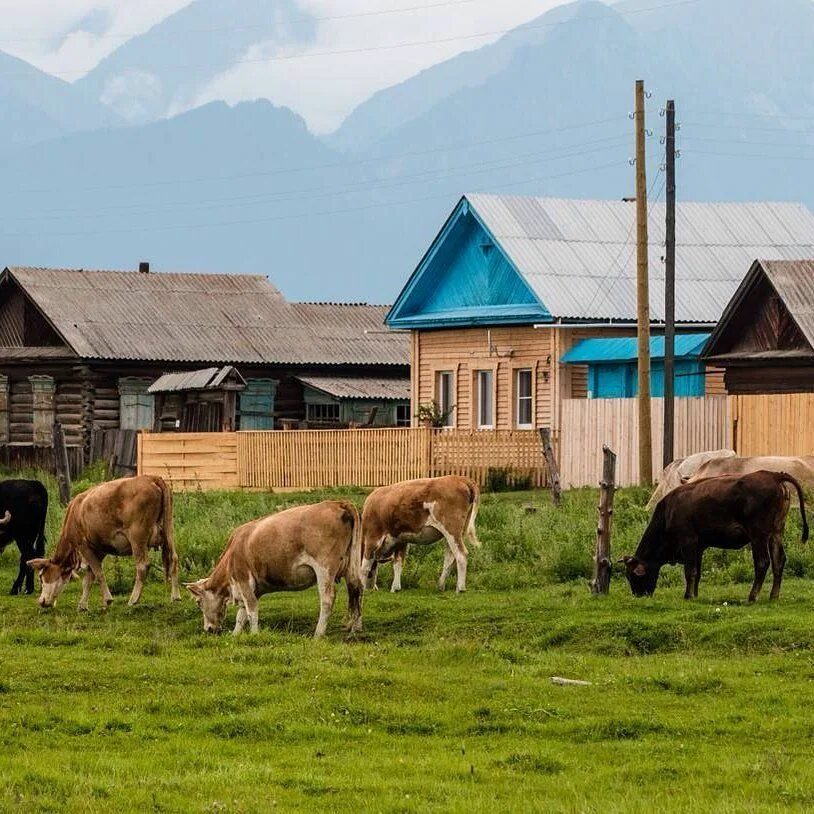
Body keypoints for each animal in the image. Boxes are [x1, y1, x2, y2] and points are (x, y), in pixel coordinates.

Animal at [28, 474, 178, 608]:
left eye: (41, 577)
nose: (41, 601)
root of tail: (151, 477)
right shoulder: (99, 549)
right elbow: (89, 578)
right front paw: (83, 605)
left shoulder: (84, 546)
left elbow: (98, 573)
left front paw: (107, 599)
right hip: (168, 531)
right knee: (174, 558)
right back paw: (175, 596)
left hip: (137, 537)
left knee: (143, 566)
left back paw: (133, 599)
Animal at [186, 500, 364, 640]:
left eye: (198, 602)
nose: (208, 629)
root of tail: (338, 503)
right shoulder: (251, 588)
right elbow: (241, 614)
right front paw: (235, 634)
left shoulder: (243, 579)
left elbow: (251, 610)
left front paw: (254, 634)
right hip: (352, 566)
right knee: (356, 591)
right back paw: (355, 629)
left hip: (324, 568)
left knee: (327, 599)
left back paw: (318, 634)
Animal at [624, 468, 808, 604]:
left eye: (633, 576)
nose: (638, 596)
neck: (669, 511)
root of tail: (773, 475)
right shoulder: (699, 546)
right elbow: (697, 572)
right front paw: (695, 595)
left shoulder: (688, 540)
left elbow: (689, 571)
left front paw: (688, 596)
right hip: (776, 533)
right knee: (778, 561)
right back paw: (773, 596)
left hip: (759, 535)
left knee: (762, 562)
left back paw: (752, 596)